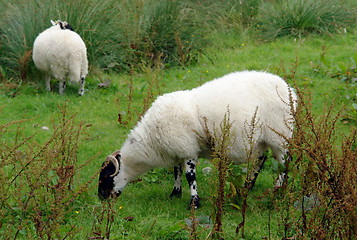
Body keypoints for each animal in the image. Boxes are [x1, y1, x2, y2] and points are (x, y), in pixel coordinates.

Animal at [97, 71, 298, 208]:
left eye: (106, 176)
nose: (100, 197)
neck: (152, 139)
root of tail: (289, 90)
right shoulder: (178, 149)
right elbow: (177, 172)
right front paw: (175, 193)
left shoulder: (188, 149)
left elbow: (189, 176)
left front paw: (194, 202)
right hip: (261, 140)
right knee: (260, 159)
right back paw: (248, 186)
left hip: (280, 134)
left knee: (284, 162)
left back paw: (279, 189)